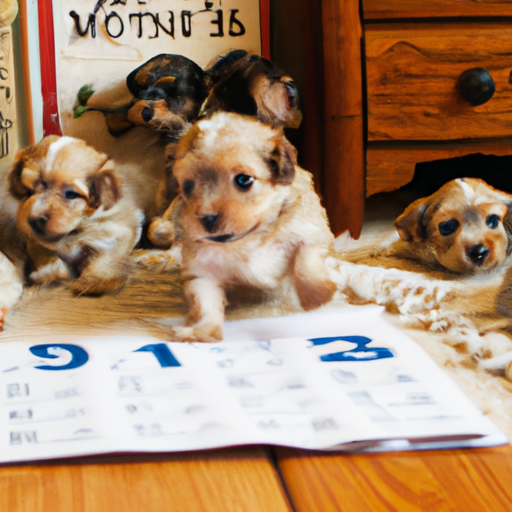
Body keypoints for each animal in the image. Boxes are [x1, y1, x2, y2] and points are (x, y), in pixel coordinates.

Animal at [160, 114, 336, 342]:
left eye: (244, 180)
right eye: (188, 186)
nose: (207, 219)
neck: (250, 237)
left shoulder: (312, 231)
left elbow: (307, 262)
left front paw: (317, 295)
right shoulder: (202, 272)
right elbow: (205, 304)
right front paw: (203, 331)